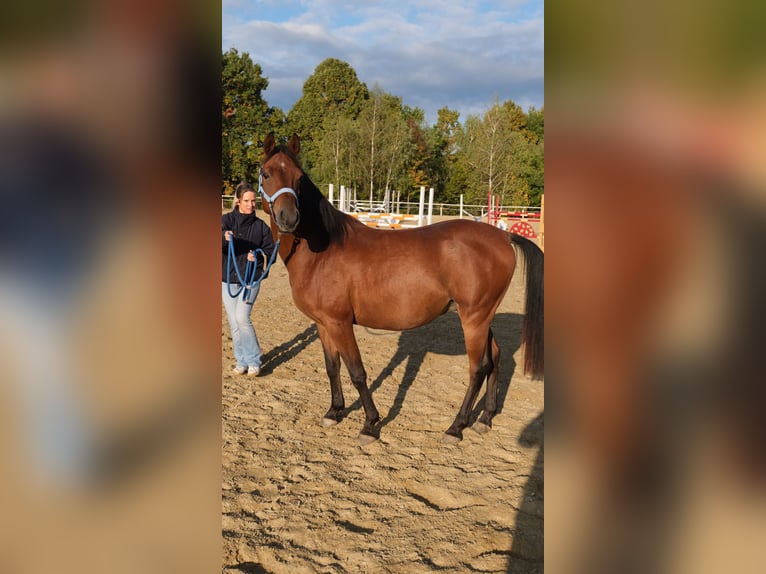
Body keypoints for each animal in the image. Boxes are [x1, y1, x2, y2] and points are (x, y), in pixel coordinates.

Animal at [258, 133, 544, 445]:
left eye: (299, 178)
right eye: (266, 173)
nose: (288, 218)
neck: (324, 248)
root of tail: (503, 236)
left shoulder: (340, 323)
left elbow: (357, 372)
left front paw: (370, 424)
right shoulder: (323, 324)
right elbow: (332, 367)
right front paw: (334, 411)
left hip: (474, 318)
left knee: (478, 367)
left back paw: (456, 427)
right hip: (482, 316)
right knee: (495, 357)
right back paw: (485, 418)